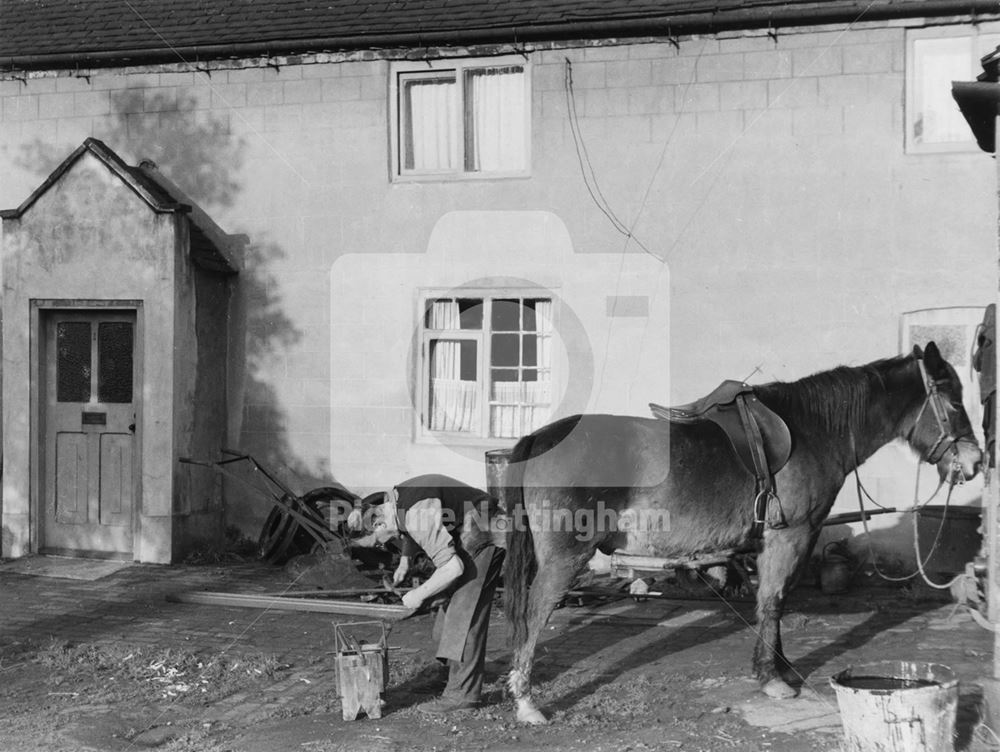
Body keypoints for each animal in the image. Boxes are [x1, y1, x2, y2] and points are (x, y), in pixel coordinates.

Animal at [504, 342, 980, 724]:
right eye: (955, 403)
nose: (975, 462)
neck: (813, 430)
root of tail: (538, 437)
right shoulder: (791, 537)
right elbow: (773, 601)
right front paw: (772, 678)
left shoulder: (780, 542)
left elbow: (776, 601)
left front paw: (779, 666)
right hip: (566, 556)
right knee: (534, 612)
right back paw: (527, 704)